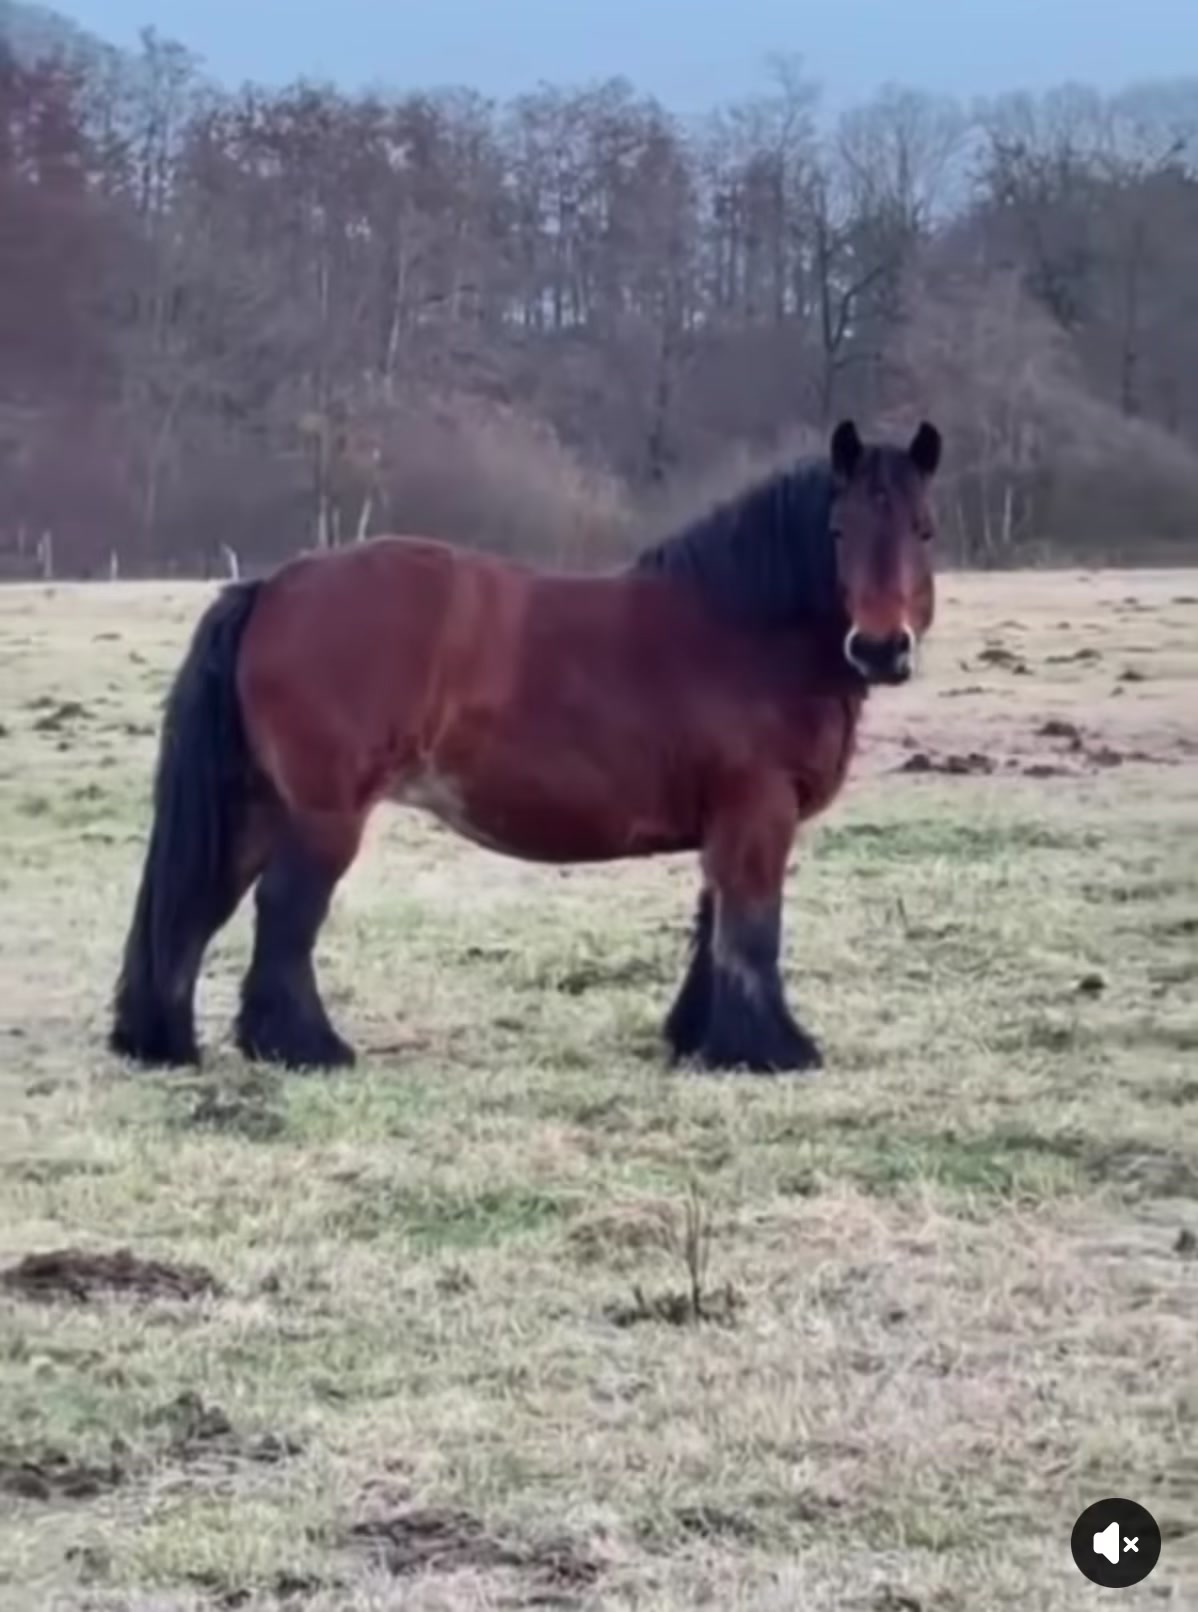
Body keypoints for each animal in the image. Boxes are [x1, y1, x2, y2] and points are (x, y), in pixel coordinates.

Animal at [109, 417, 942, 1077]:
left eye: (923, 530)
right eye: (839, 531)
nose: (880, 649)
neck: (748, 629)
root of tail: (273, 587)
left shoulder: (729, 821)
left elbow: (714, 925)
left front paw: (698, 1038)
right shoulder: (758, 812)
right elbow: (751, 930)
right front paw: (769, 1050)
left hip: (258, 805)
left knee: (201, 906)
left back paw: (167, 1042)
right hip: (323, 814)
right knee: (283, 911)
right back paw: (306, 1047)